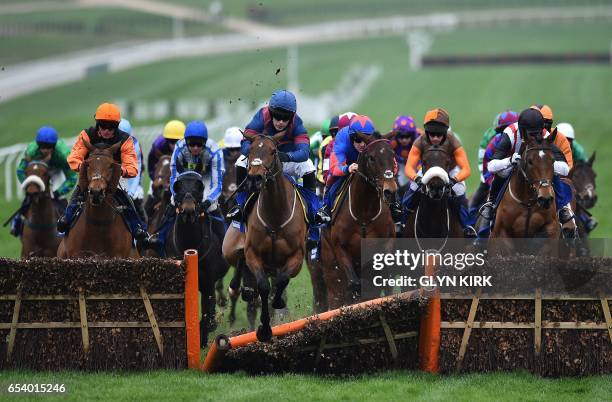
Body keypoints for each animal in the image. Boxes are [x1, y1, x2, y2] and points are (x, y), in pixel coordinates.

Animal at [163, 172, 230, 346]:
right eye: (178, 189)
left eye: (198, 190)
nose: (188, 210)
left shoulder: (208, 282)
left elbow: (207, 313)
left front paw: (203, 338)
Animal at [322, 137, 400, 310]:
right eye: (371, 158)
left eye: (392, 155)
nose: (390, 191)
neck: (364, 212)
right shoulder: (340, 247)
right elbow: (354, 284)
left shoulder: (388, 239)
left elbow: (384, 275)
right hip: (331, 267)